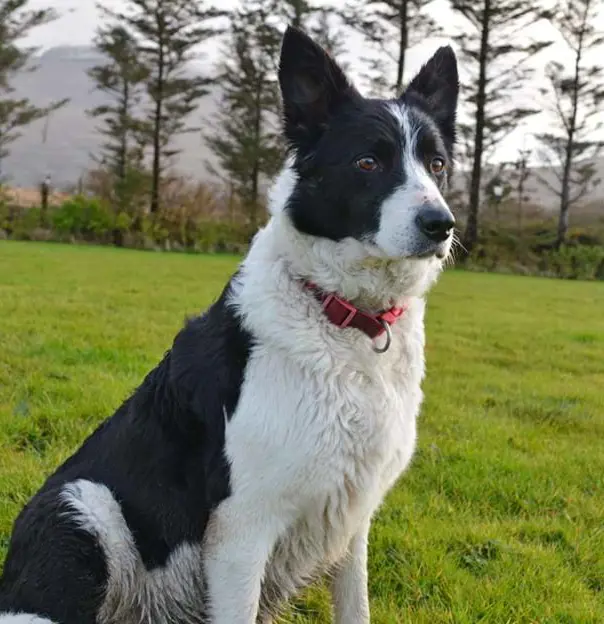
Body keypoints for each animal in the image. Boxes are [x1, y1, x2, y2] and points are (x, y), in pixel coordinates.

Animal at [0, 25, 456, 624]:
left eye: (438, 165)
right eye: (367, 163)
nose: (441, 224)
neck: (342, 313)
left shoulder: (352, 522)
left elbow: (355, 606)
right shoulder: (242, 532)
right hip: (85, 506)